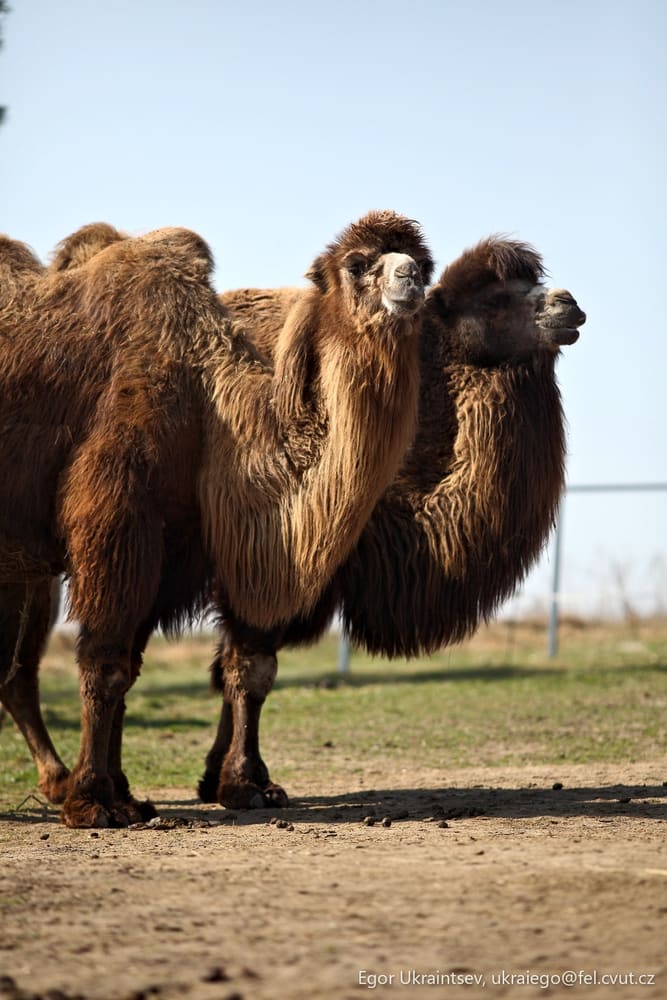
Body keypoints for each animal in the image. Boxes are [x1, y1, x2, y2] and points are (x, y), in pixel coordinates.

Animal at [0, 211, 433, 827]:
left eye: (425, 261)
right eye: (357, 264)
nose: (409, 277)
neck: (210, 402)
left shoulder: (177, 545)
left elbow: (145, 667)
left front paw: (128, 794)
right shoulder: (118, 514)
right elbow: (105, 663)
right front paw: (93, 803)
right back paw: (61, 784)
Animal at [197, 237, 586, 808]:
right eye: (495, 299)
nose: (568, 304)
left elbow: (230, 667)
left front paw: (222, 778)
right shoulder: (267, 550)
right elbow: (249, 670)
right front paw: (243, 784)